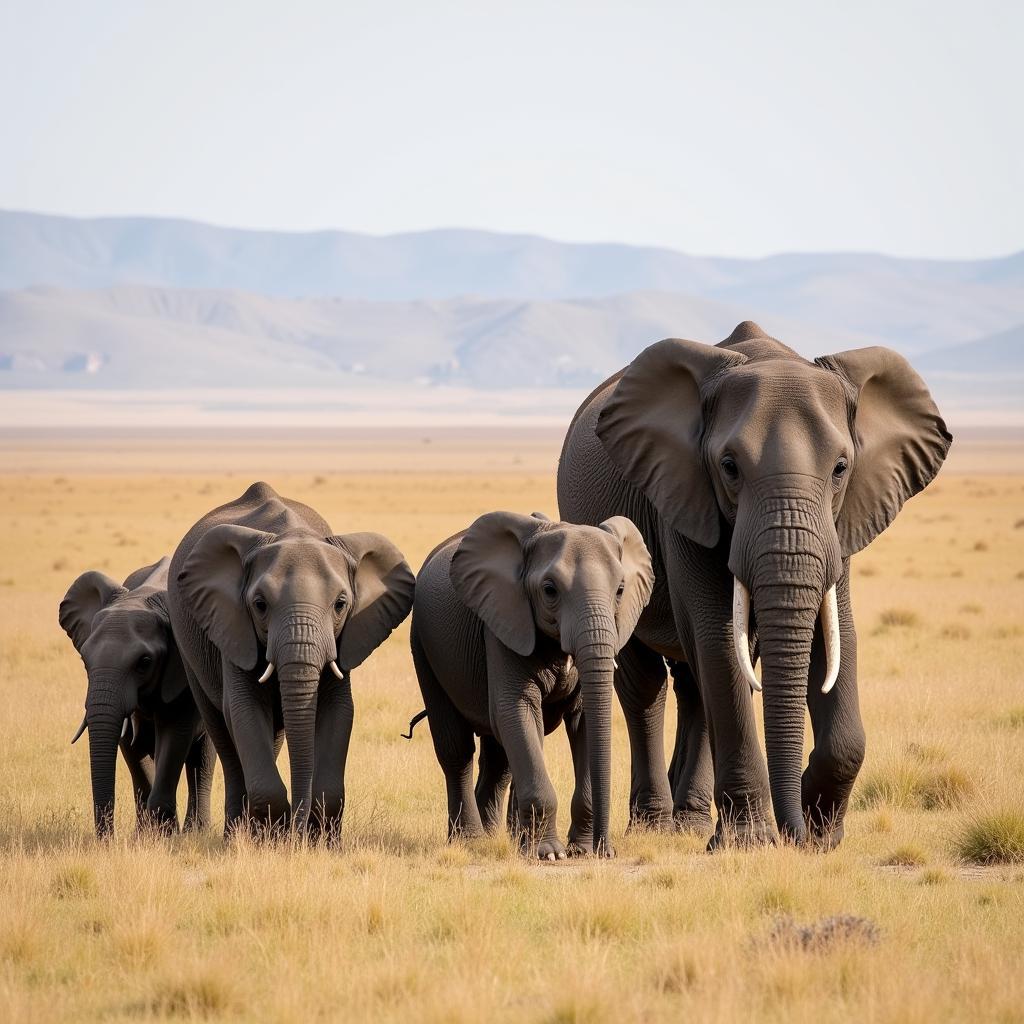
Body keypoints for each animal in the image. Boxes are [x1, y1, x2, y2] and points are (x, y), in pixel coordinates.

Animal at [58, 557, 215, 835]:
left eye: (144, 662)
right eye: (85, 661)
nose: (108, 839)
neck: (143, 598)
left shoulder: (184, 672)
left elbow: (174, 736)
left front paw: (165, 835)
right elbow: (131, 747)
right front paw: (146, 836)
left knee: (202, 761)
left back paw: (196, 832)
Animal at [165, 481, 413, 839]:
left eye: (340, 604)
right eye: (259, 604)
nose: (300, 831)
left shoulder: (344, 639)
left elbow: (340, 709)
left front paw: (320, 842)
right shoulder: (233, 626)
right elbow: (242, 707)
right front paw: (274, 838)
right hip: (190, 649)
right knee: (221, 734)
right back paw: (235, 835)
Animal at [411, 509, 651, 856]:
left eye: (620, 590)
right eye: (550, 590)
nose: (605, 850)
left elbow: (583, 719)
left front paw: (578, 850)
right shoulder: (502, 623)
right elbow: (516, 710)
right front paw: (549, 854)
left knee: (498, 759)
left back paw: (500, 838)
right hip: (423, 646)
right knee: (456, 749)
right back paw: (471, 841)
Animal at [561, 321, 950, 847]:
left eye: (841, 468)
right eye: (729, 467)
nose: (795, 834)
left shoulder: (843, 518)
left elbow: (836, 634)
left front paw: (821, 835)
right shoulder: (682, 497)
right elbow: (719, 637)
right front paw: (749, 842)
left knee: (695, 686)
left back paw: (690, 821)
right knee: (647, 684)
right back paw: (657, 825)